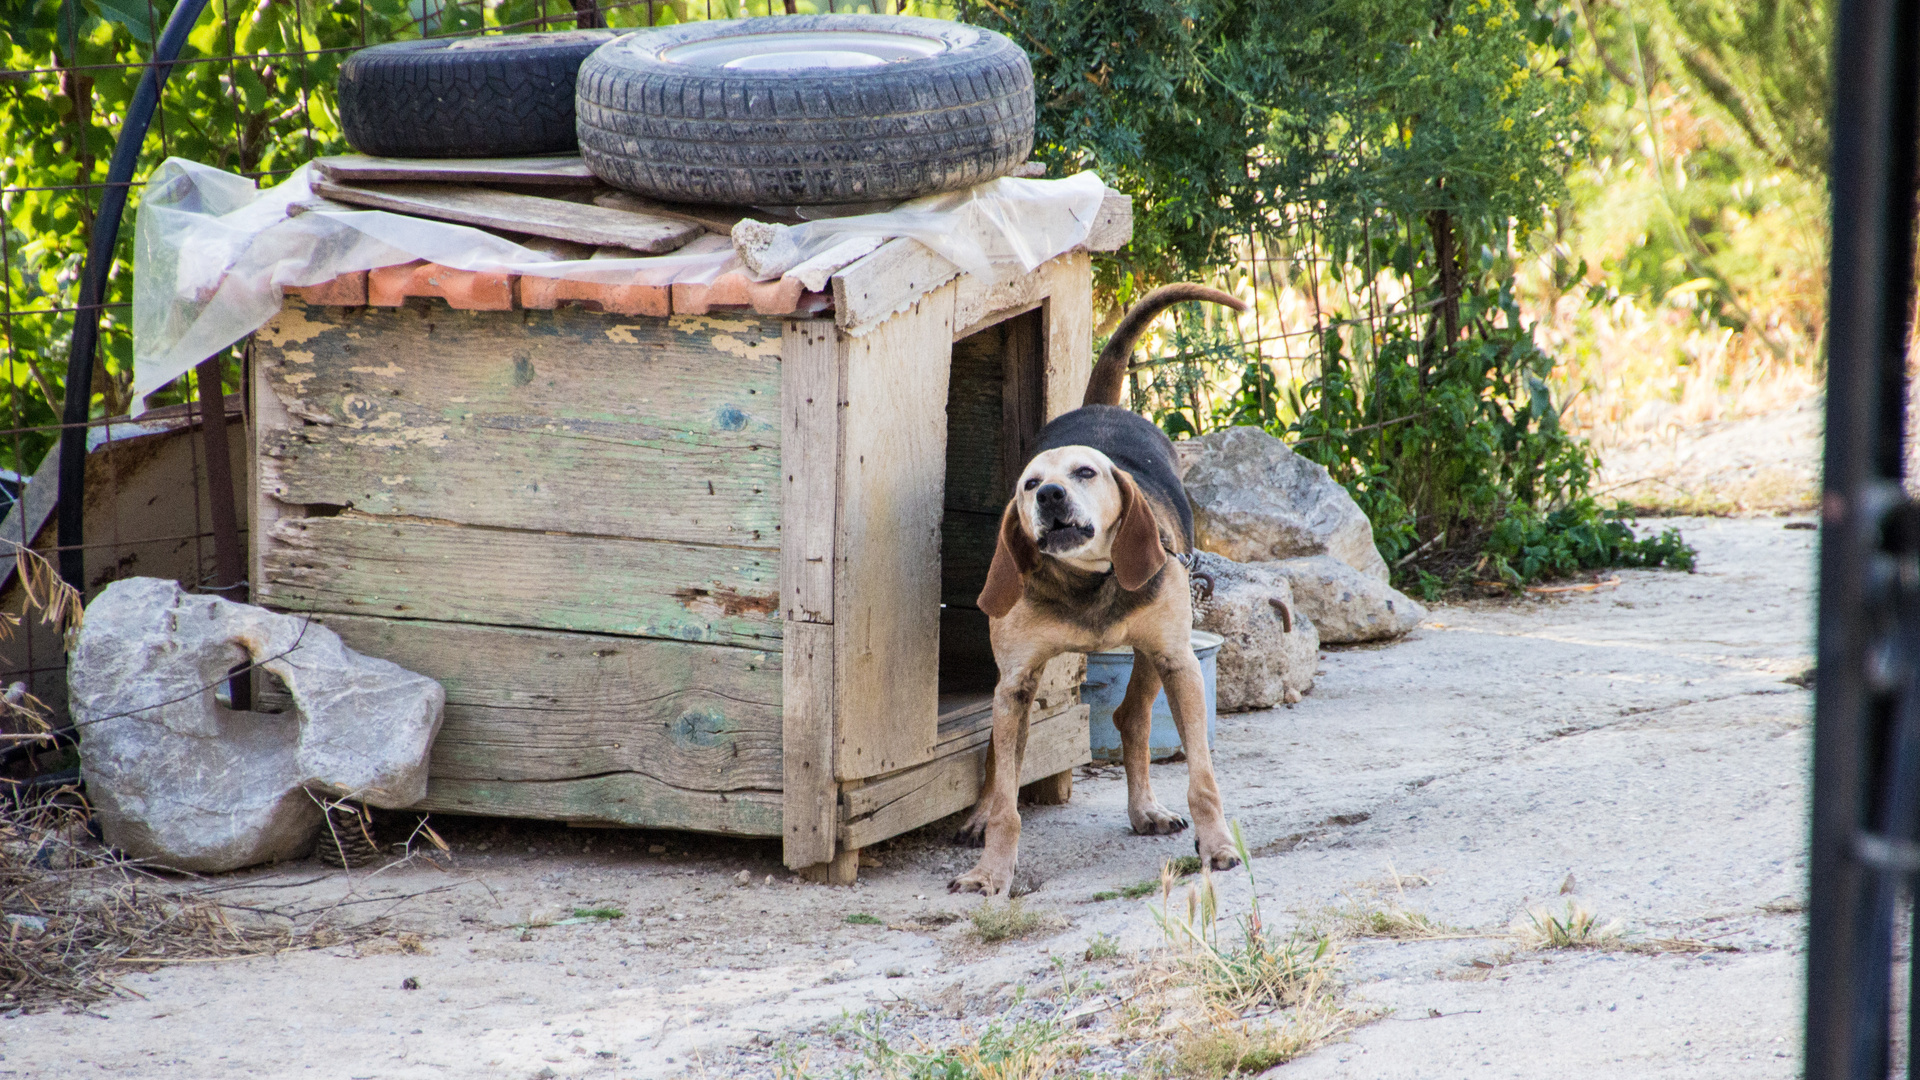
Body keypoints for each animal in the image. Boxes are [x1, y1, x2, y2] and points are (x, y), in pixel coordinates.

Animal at [952, 282, 1251, 895]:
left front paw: (1216, 846)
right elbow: (1006, 796)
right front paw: (991, 870)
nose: (1050, 497)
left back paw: (1145, 809)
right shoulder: (1015, 683)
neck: (1088, 581)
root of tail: (1102, 408)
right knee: (1001, 754)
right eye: (1029, 484)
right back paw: (979, 817)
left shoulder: (1181, 662)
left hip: (1156, 654)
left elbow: (1203, 779)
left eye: (1086, 474)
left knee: (1130, 720)